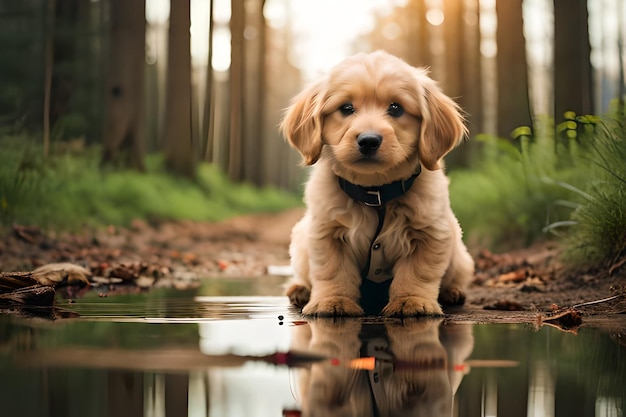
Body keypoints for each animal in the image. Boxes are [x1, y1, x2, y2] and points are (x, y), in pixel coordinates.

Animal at [280, 49, 470, 316]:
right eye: (346, 108)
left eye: (396, 108)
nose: (368, 140)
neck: (375, 190)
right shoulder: (326, 232)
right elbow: (332, 271)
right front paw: (334, 301)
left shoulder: (431, 233)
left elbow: (418, 272)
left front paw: (411, 301)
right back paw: (300, 290)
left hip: (459, 255)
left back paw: (452, 291)